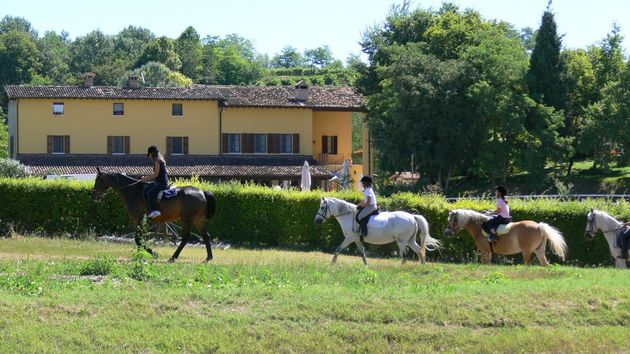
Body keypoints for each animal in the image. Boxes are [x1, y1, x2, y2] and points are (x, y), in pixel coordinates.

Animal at [314, 198, 442, 264]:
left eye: (322, 207)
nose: (317, 221)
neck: (348, 215)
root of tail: (413, 216)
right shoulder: (357, 239)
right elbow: (362, 253)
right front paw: (366, 266)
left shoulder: (350, 238)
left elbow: (338, 249)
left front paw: (332, 264)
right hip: (410, 240)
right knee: (419, 251)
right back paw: (422, 266)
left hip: (401, 240)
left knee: (405, 254)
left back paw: (401, 267)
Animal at [442, 209, 572, 264]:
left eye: (450, 220)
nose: (446, 233)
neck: (479, 227)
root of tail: (539, 226)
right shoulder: (488, 252)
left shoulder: (485, 251)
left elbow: (485, 264)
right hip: (539, 250)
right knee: (544, 263)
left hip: (527, 251)